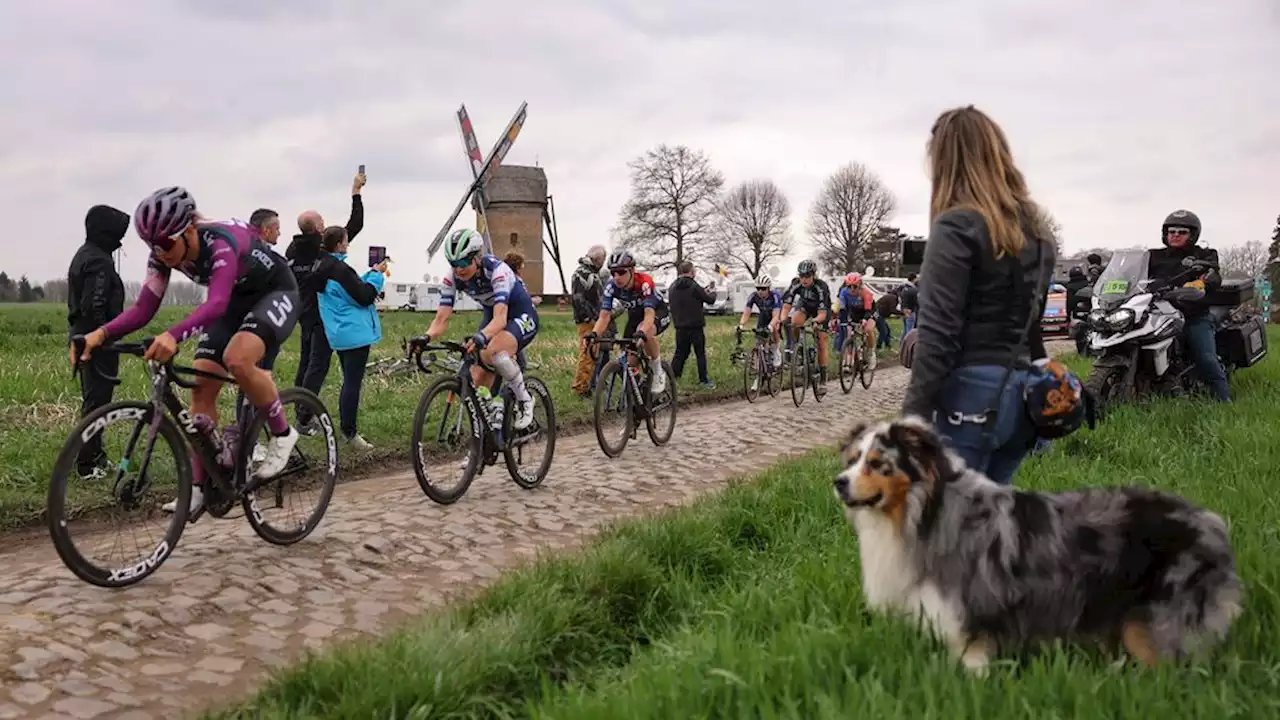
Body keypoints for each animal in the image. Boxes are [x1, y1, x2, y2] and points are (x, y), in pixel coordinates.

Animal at [829, 415, 1239, 671]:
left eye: (877, 463)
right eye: (853, 459)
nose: (839, 482)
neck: (926, 512)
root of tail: (1213, 523)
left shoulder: (971, 627)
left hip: (1156, 625)